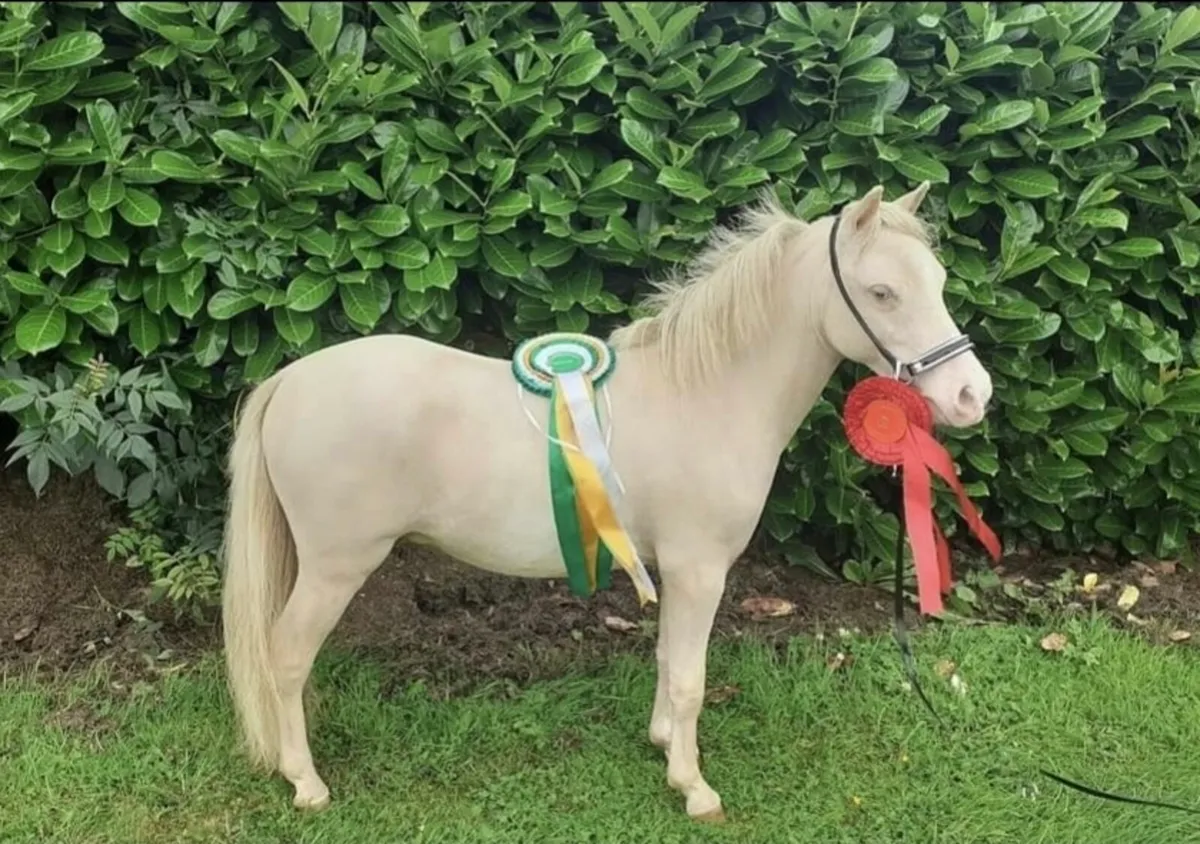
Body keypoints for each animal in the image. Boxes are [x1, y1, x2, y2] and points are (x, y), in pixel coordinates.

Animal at [220, 181, 994, 821]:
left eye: (937, 280)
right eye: (882, 292)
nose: (970, 395)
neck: (708, 393)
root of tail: (288, 381)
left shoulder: (673, 570)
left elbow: (666, 660)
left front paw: (662, 746)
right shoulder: (699, 570)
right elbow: (691, 677)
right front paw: (695, 788)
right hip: (335, 567)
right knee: (285, 656)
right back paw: (307, 784)